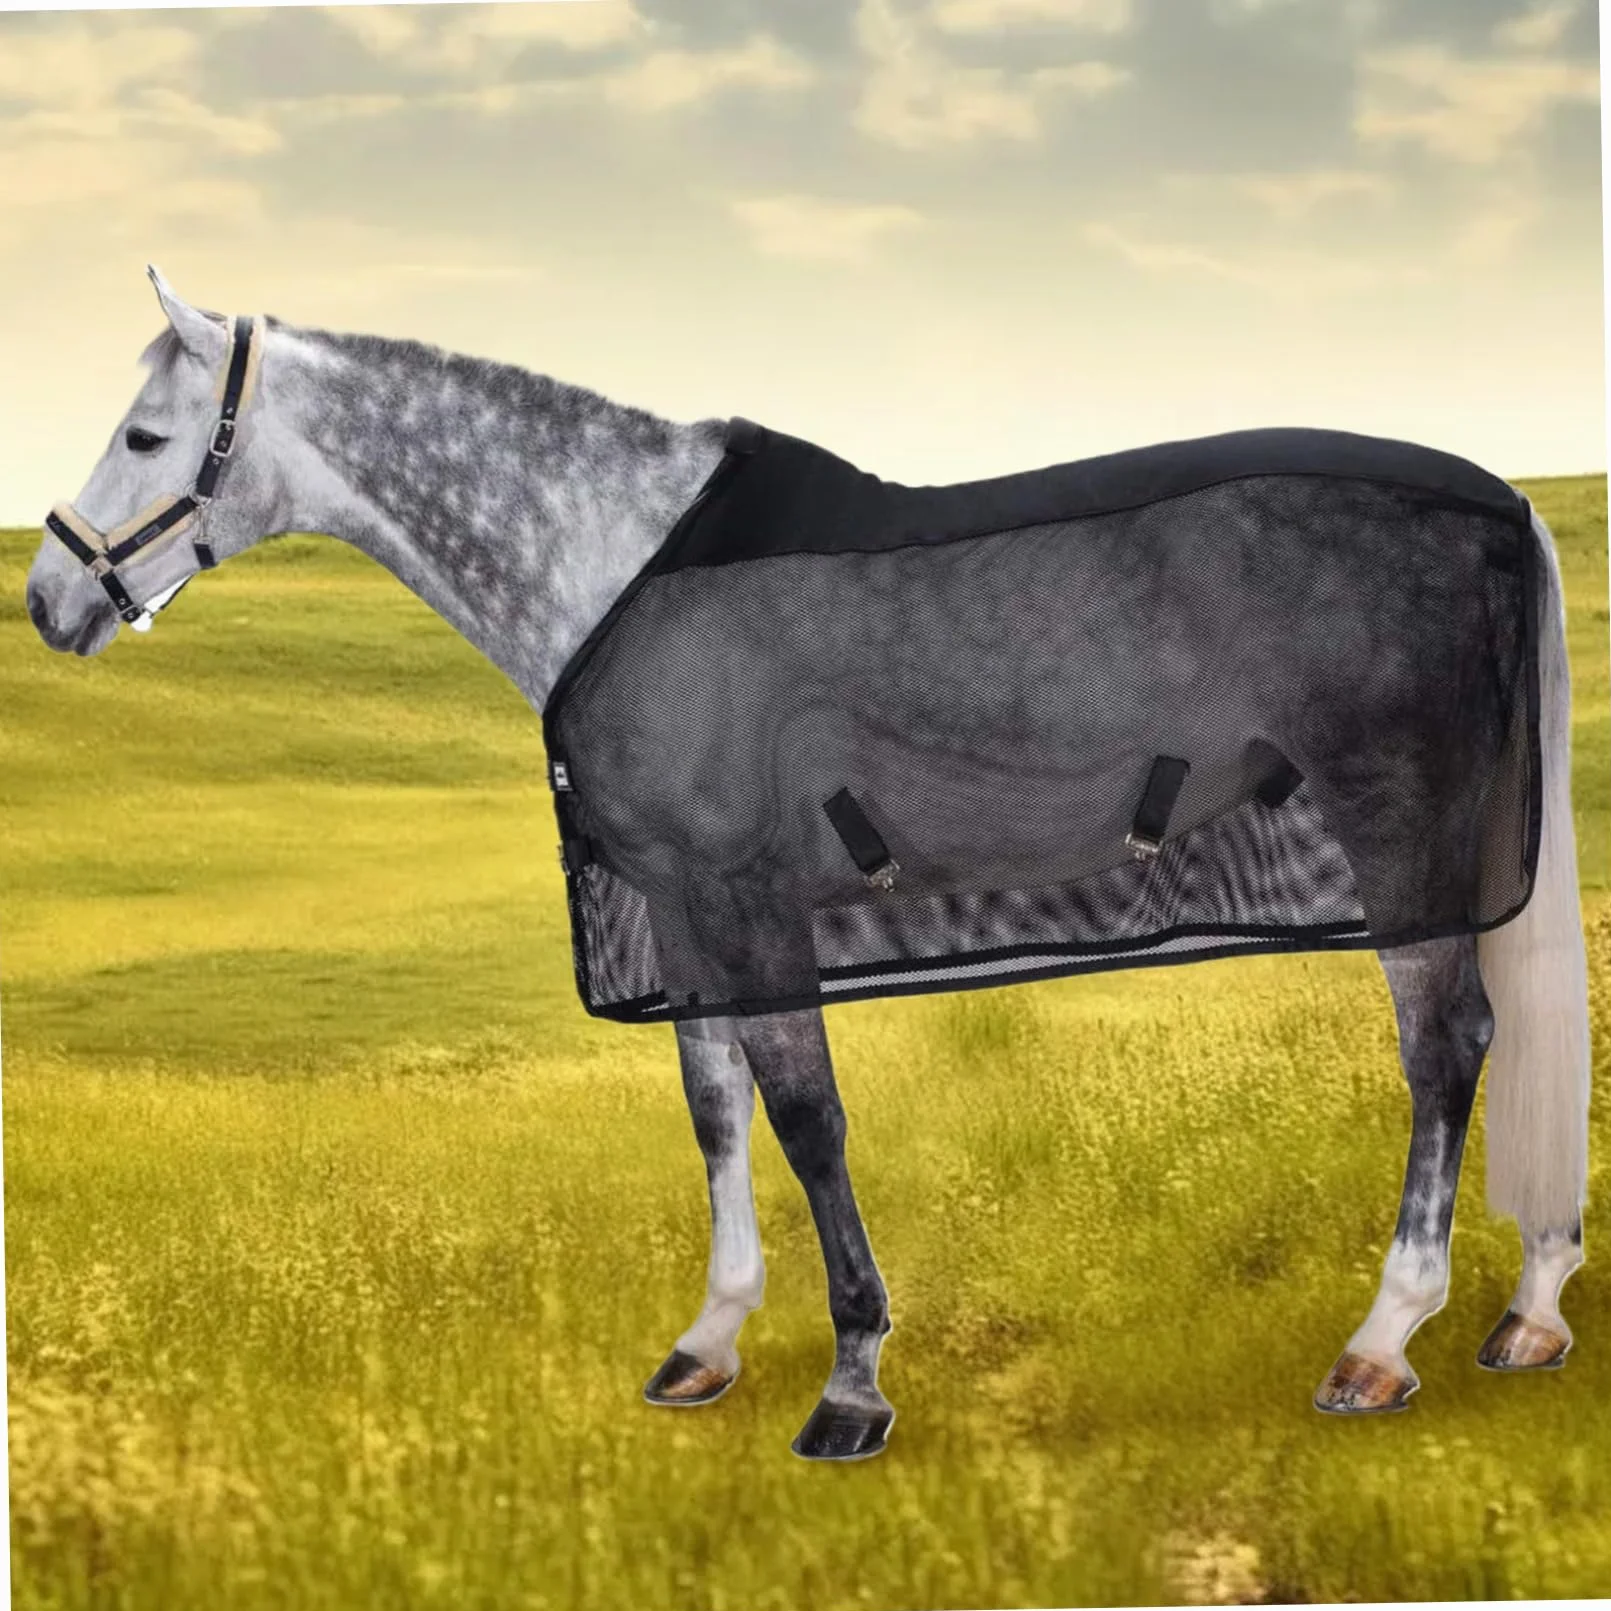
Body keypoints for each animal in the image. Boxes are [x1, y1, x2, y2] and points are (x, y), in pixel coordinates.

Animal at [25, 266, 1590, 1462]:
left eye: (149, 434)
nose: (49, 599)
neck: (616, 567)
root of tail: (1497, 503)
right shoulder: (681, 911)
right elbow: (716, 1111)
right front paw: (709, 1338)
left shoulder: (746, 898)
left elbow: (805, 1118)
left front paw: (851, 1384)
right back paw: (1527, 1312)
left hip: (1398, 823)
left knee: (1447, 1044)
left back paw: (1383, 1338)